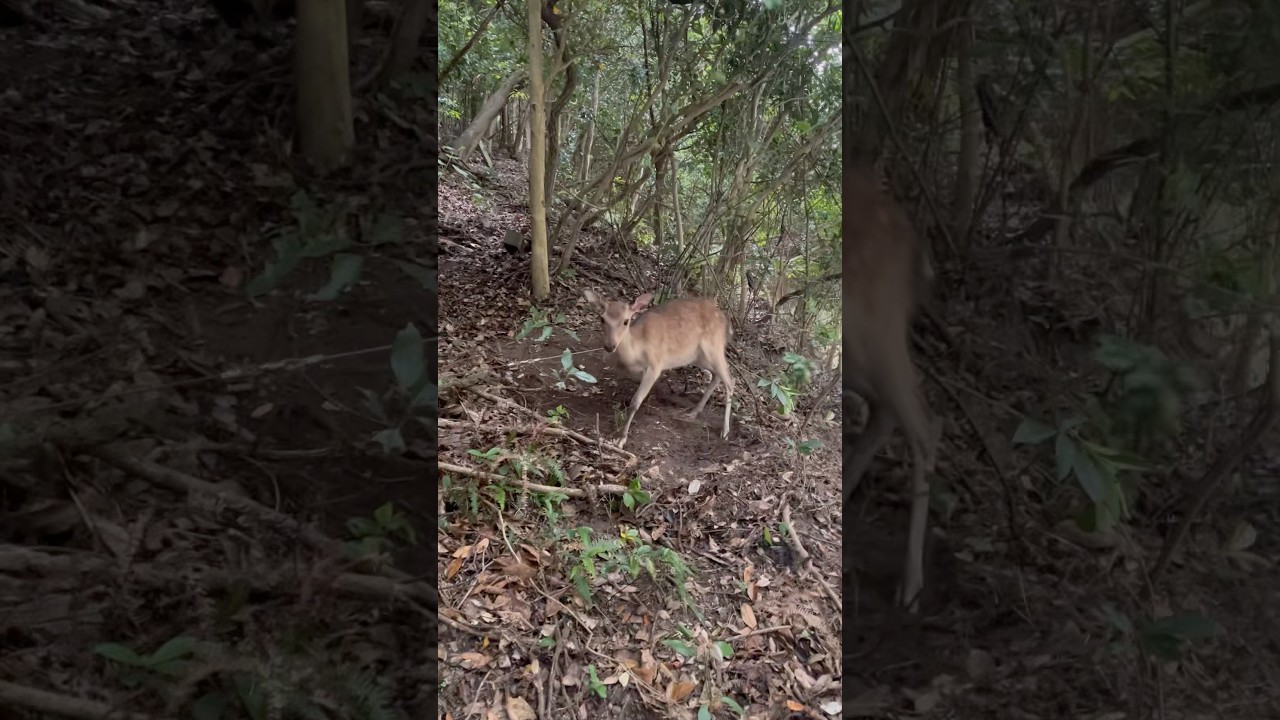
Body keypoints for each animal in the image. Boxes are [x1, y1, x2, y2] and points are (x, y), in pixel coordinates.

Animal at [581, 289, 734, 449]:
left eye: (626, 321)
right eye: (602, 319)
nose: (609, 346)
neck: (634, 354)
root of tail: (727, 325)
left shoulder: (655, 365)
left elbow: (635, 402)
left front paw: (621, 439)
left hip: (714, 347)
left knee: (730, 380)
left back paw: (725, 431)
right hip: (697, 356)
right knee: (717, 375)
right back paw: (694, 412)